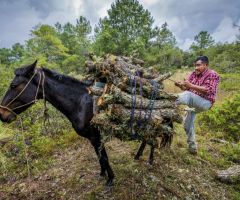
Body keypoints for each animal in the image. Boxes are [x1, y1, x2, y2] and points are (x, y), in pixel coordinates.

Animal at [0, 61, 172, 186]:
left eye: (13, 85)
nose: (2, 115)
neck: (80, 103)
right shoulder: (92, 138)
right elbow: (100, 156)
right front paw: (103, 174)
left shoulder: (96, 136)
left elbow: (104, 157)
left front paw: (110, 179)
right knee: (147, 139)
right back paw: (138, 156)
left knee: (153, 139)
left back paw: (150, 160)